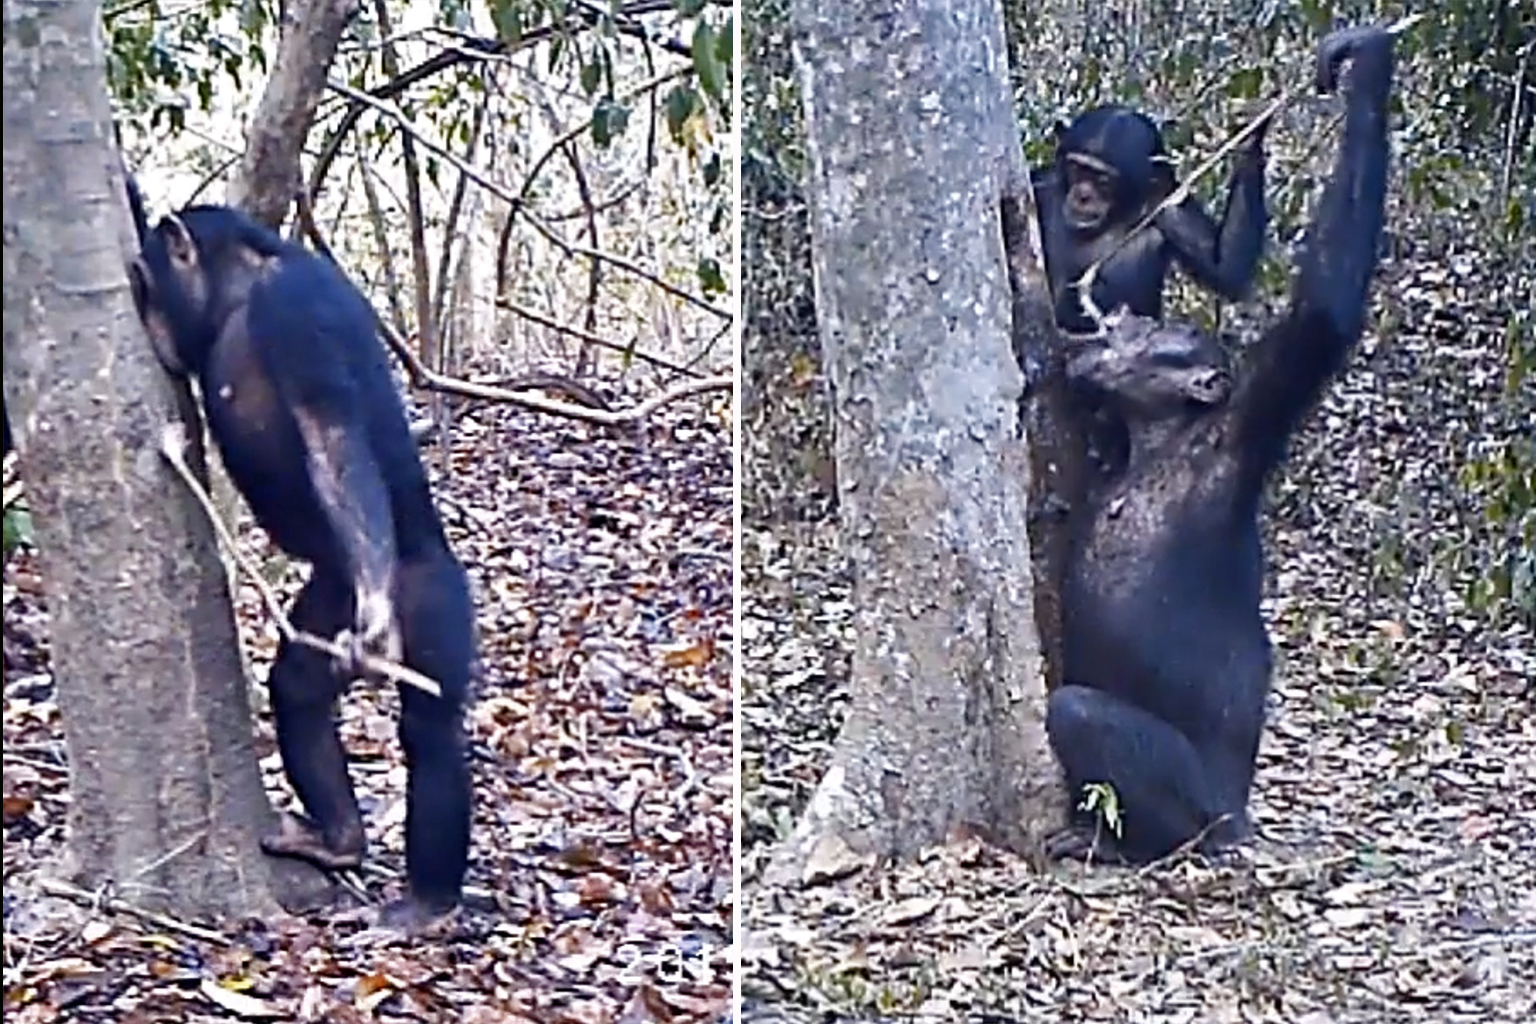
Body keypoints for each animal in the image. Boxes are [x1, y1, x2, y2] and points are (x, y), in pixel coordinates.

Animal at [129, 204, 476, 927]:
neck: (243, 285)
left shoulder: (296, 316)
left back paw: (426, 903)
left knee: (430, 730)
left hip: (433, 597)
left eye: (149, 281)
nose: (143, 292)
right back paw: (340, 841)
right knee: (298, 689)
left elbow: (333, 437)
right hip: (326, 598)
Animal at [1050, 26, 1400, 865]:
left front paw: (1364, 71)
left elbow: (1319, 315)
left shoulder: (1248, 425)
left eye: (1149, 334)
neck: (1160, 442)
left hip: (1199, 806)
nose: (1116, 326)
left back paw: (1117, 843)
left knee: (1077, 712)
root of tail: (1239, 817)